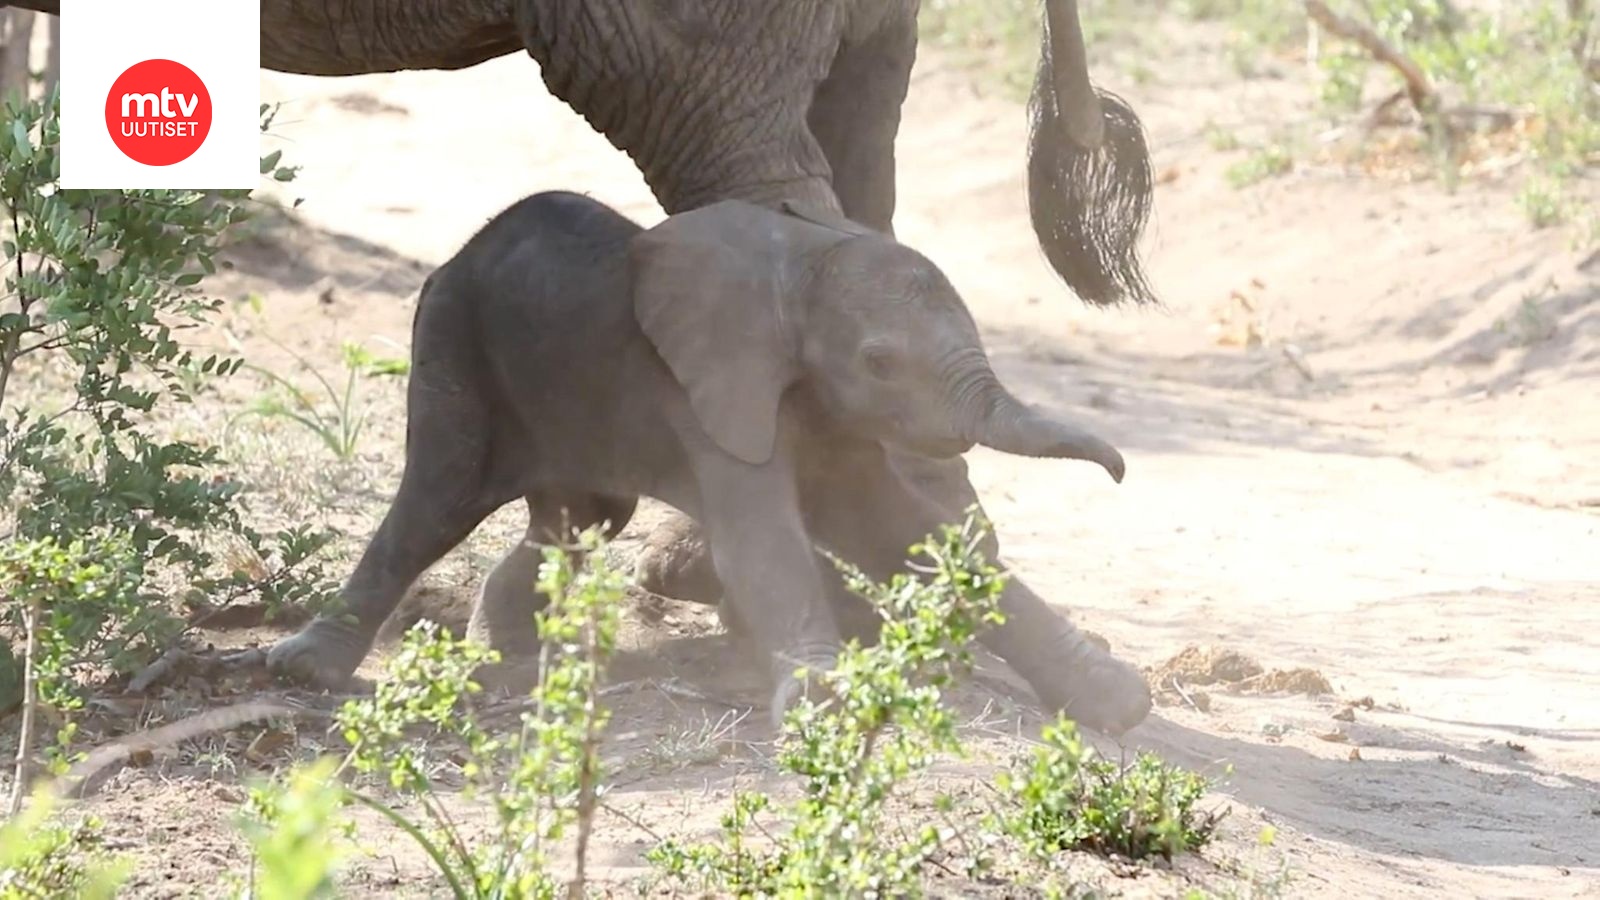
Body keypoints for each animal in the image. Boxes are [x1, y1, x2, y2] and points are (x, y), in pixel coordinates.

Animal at [256, 188, 1145, 730]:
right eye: (880, 363)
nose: (1121, 473)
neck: (803, 266)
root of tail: (462, 250)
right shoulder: (711, 397)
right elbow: (765, 545)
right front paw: (824, 707)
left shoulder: (818, 407)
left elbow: (902, 531)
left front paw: (1120, 701)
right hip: (452, 343)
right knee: (434, 506)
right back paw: (306, 671)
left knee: (573, 524)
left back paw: (504, 666)